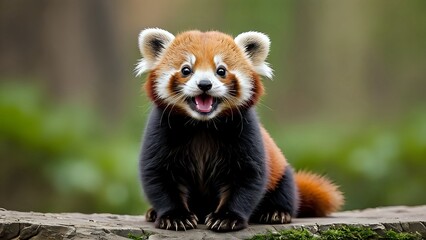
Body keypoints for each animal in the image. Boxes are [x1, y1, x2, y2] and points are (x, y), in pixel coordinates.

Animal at [136, 28, 342, 232]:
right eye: (186, 69)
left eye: (221, 70)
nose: (205, 84)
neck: (203, 126)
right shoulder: (161, 130)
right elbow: (158, 176)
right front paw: (175, 217)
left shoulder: (247, 132)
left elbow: (247, 178)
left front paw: (227, 218)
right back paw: (152, 212)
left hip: (282, 172)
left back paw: (275, 212)